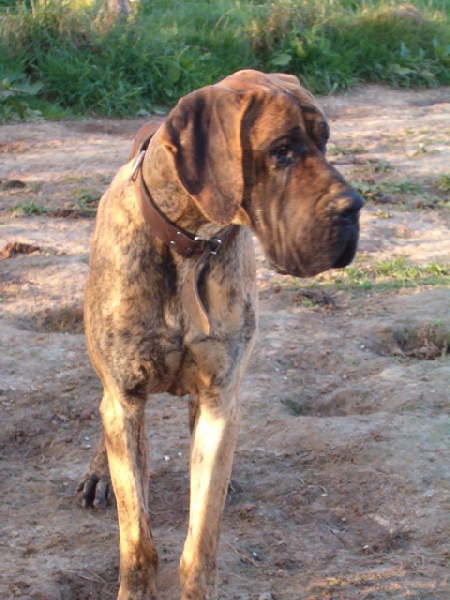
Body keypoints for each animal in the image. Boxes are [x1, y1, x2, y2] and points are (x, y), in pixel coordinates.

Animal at [76, 68, 362, 596]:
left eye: (325, 140)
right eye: (281, 150)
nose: (353, 208)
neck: (190, 246)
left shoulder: (218, 401)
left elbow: (201, 541)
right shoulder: (125, 397)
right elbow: (137, 539)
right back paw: (99, 473)